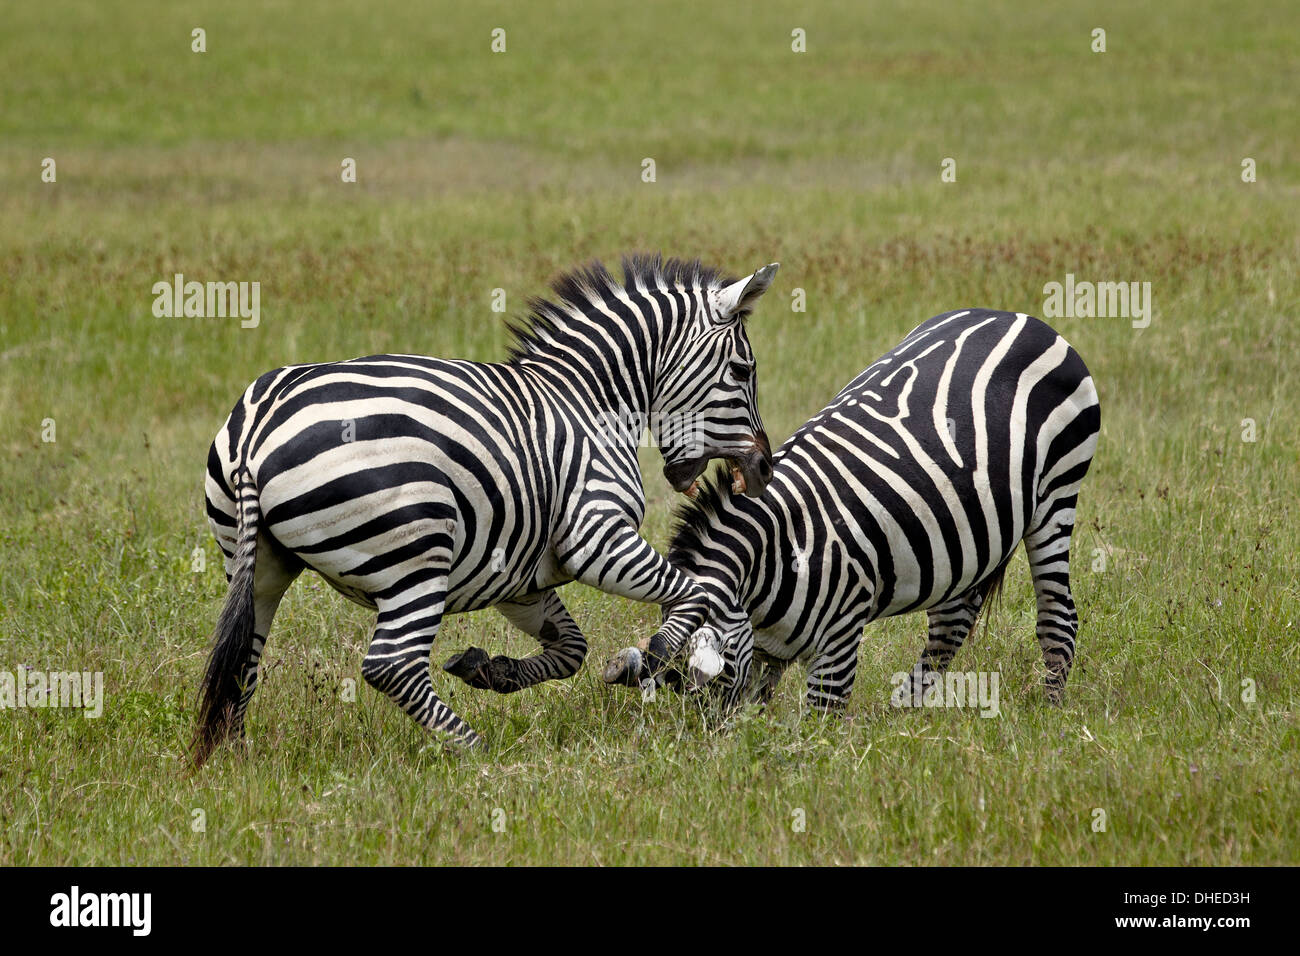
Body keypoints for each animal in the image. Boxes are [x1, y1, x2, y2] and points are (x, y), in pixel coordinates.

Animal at [192, 255, 780, 767]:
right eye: (743, 369)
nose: (763, 470)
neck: (592, 404)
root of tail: (259, 426)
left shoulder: (520, 575)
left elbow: (572, 648)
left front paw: (490, 670)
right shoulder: (597, 540)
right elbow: (701, 595)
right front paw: (654, 660)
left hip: (257, 564)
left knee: (244, 656)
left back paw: (237, 758)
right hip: (416, 553)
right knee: (392, 665)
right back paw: (475, 752)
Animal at [603, 308, 1100, 713]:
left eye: (705, 683)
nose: (707, 744)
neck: (777, 557)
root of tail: (1024, 320)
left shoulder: (839, 641)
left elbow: (818, 731)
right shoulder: (768, 650)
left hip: (1056, 492)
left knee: (1058, 617)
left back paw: (1048, 715)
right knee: (952, 621)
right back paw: (901, 717)